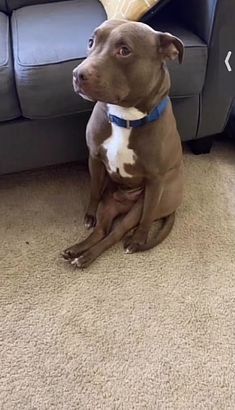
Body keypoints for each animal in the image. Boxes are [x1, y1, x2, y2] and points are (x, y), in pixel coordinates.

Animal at [62, 20, 184, 270]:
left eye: (124, 50)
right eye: (91, 42)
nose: (78, 74)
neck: (125, 116)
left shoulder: (155, 181)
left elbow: (146, 218)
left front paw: (139, 240)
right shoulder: (95, 159)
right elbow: (93, 190)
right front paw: (89, 215)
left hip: (141, 206)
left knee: (116, 234)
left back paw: (88, 256)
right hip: (110, 204)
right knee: (101, 231)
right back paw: (77, 250)